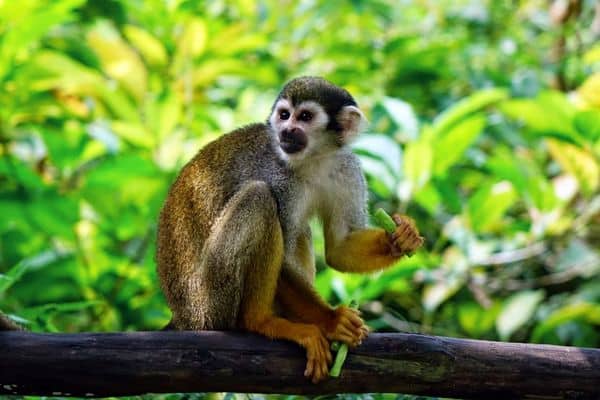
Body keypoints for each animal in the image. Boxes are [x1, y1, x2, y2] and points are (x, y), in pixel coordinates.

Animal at [157, 76, 424, 382]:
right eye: (284, 115)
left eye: (305, 117)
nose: (286, 130)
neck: (313, 160)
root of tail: (183, 316)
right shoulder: (278, 177)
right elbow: (283, 261)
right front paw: (332, 320)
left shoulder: (346, 168)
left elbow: (339, 249)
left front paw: (401, 237)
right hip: (210, 303)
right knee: (259, 198)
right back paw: (261, 321)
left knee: (299, 231)